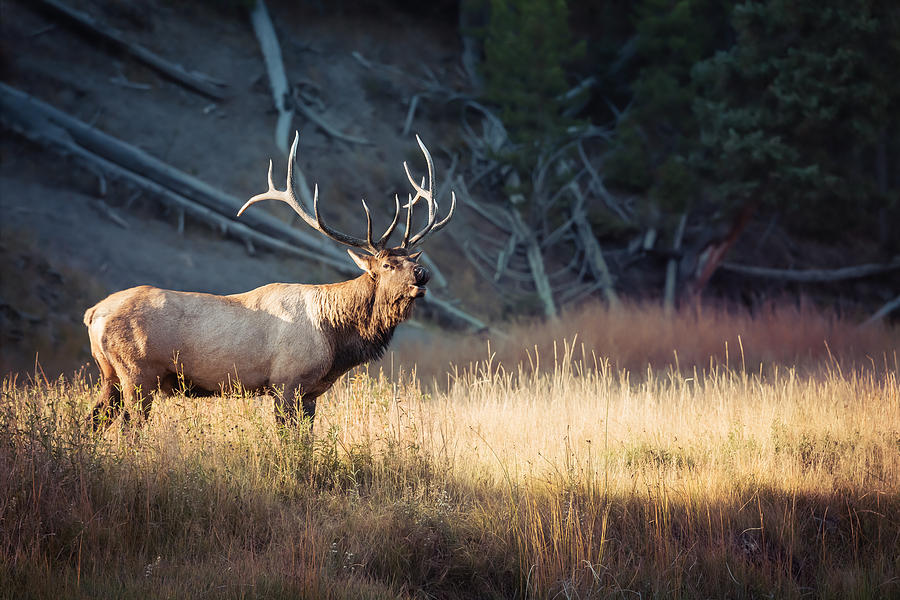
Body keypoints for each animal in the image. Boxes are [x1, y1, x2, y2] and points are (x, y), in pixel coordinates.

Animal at [85, 134, 458, 428]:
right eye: (387, 264)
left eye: (413, 260)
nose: (423, 274)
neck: (336, 338)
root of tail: (93, 313)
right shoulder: (286, 383)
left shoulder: (311, 393)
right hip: (138, 374)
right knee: (128, 427)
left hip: (110, 375)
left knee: (94, 420)